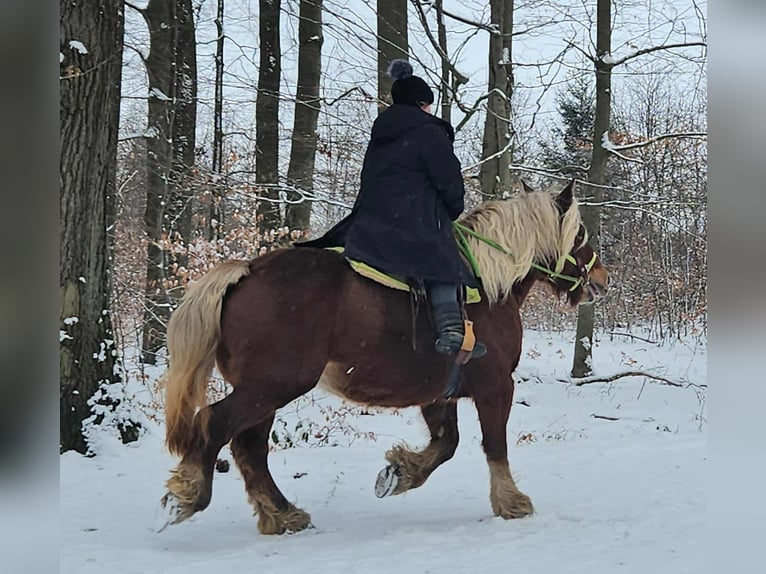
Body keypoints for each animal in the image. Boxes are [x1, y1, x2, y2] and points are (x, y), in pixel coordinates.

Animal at [155, 180, 609, 534]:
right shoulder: (497, 386)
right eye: (579, 234)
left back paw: (282, 515)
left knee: (249, 447)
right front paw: (512, 502)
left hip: (263, 390)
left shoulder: (439, 394)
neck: (486, 284)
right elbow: (494, 445)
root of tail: (245, 273)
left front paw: (399, 473)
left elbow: (446, 444)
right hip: (273, 386)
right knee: (214, 424)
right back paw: (190, 494)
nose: (602, 279)